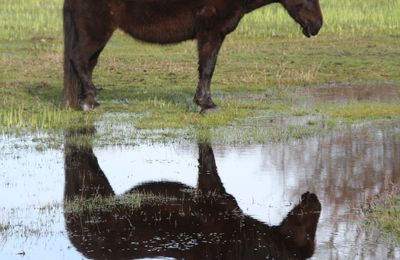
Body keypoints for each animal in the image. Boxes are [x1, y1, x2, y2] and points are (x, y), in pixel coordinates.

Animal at [64, 0, 324, 110]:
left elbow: (208, 68)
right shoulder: (210, 33)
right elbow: (207, 67)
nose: (317, 25)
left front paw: (203, 100)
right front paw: (206, 104)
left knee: (86, 64)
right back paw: (91, 101)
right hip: (96, 33)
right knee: (79, 59)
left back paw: (85, 99)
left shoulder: (216, 35)